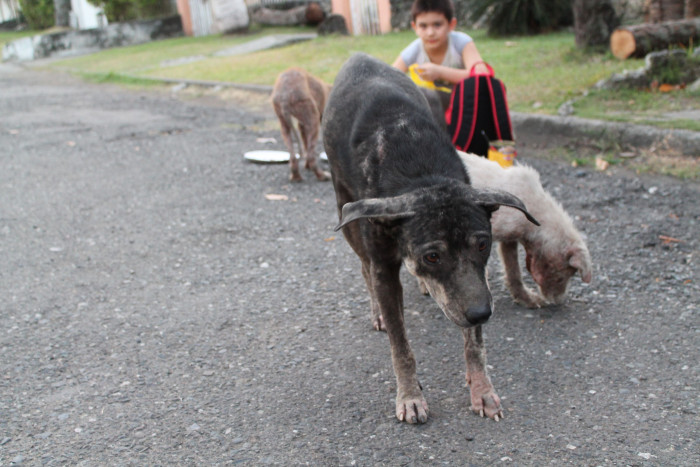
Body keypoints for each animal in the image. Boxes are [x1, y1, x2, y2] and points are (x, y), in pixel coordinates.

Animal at [320, 54, 540, 424]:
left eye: (483, 245)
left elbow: (475, 344)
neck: (422, 176)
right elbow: (401, 346)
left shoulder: (474, 286)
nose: (482, 314)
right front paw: (410, 396)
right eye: (432, 256)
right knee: (364, 266)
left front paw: (482, 391)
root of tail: (358, 57)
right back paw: (378, 311)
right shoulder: (385, 267)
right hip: (346, 211)